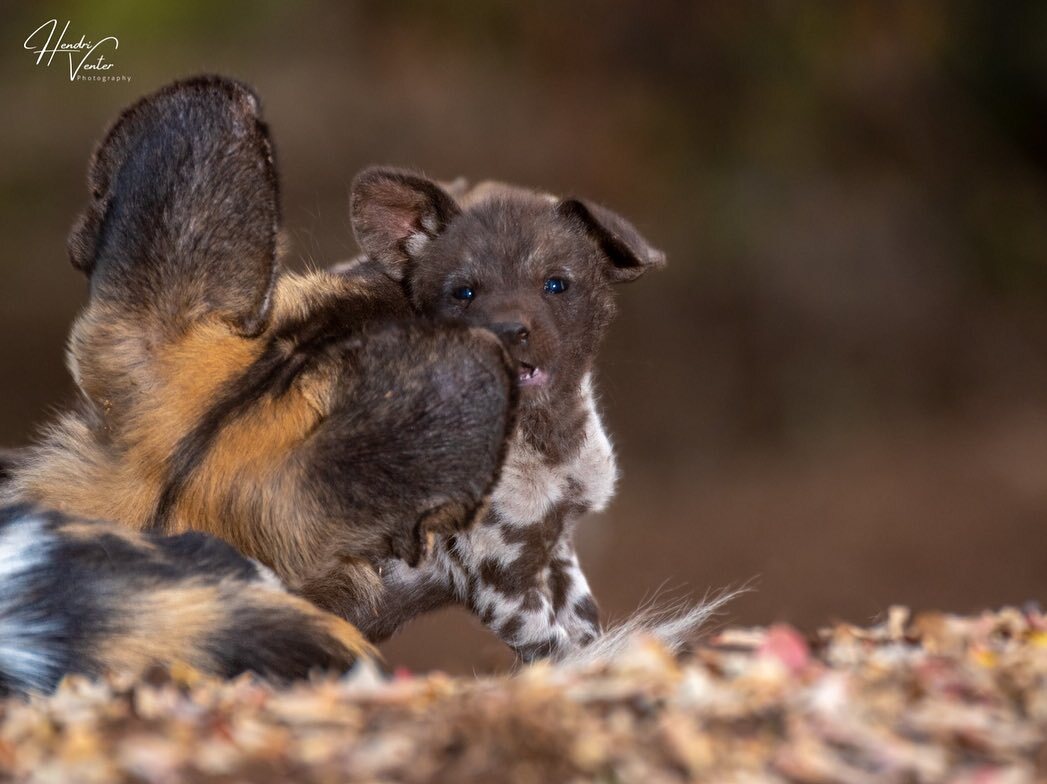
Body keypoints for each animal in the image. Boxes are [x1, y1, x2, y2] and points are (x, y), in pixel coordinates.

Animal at [339, 171, 674, 661]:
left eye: (556, 284)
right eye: (464, 293)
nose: (508, 331)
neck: (545, 440)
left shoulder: (556, 551)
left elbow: (587, 639)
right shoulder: (502, 581)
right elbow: (557, 654)